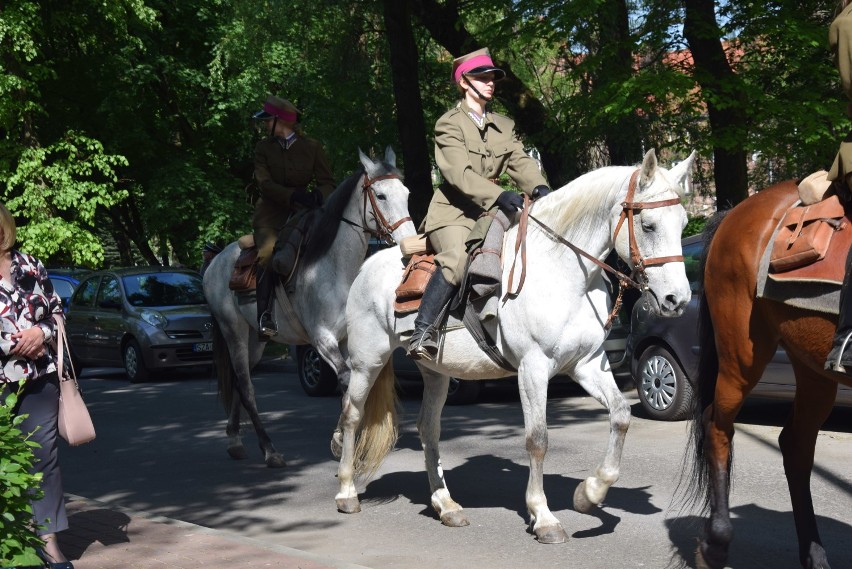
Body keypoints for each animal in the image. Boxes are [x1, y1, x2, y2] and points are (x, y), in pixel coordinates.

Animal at [200, 148, 412, 466]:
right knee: (246, 387)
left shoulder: (349, 340)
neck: (334, 267)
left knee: (239, 382)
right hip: (233, 331)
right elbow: (346, 380)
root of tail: (215, 260)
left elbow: (352, 386)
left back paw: (235, 441)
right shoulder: (322, 339)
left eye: (406, 193)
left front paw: (342, 439)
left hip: (255, 340)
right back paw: (269, 449)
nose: (410, 240)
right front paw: (341, 439)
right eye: (381, 195)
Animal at [330, 149, 696, 540]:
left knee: (428, 428)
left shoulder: (586, 364)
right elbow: (538, 439)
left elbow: (622, 415)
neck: (562, 271)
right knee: (352, 415)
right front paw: (543, 516)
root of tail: (368, 264)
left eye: (683, 222)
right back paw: (346, 491)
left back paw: (446, 505)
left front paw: (590, 493)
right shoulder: (532, 368)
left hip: (435, 372)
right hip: (367, 361)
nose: (677, 300)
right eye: (649, 225)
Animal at [688, 180, 848, 568]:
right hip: (742, 356)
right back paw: (715, 544)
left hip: (813, 367)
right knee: (717, 426)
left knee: (795, 444)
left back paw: (815, 555)